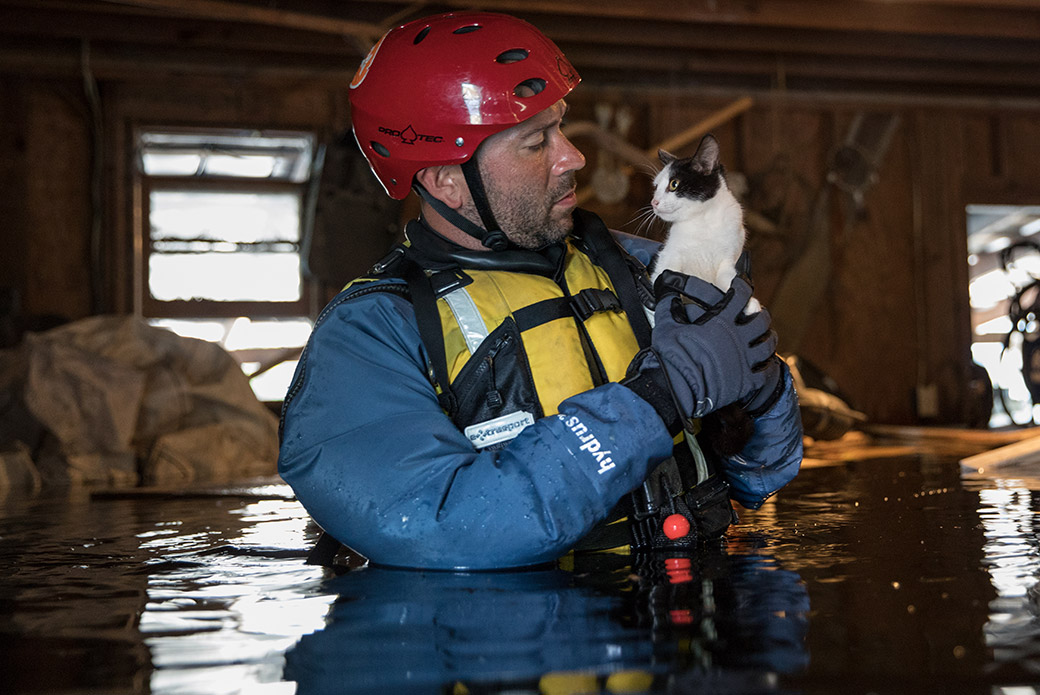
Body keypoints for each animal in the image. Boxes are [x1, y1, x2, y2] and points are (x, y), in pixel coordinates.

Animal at [644, 133, 761, 312]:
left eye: (674, 184)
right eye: (656, 187)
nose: (653, 202)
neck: (703, 221)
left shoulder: (728, 259)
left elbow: (731, 280)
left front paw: (747, 303)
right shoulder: (669, 256)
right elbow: (663, 275)